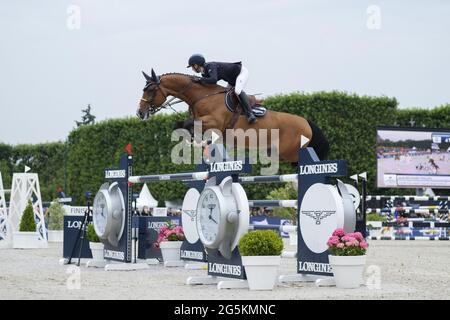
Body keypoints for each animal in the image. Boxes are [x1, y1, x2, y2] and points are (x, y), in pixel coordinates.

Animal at [135, 69, 328, 162]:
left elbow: (191, 124)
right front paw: (194, 141)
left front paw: (198, 141)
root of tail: (307, 122)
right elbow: (181, 124)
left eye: (150, 90)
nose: (140, 112)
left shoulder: (214, 123)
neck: (202, 96)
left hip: (291, 154)